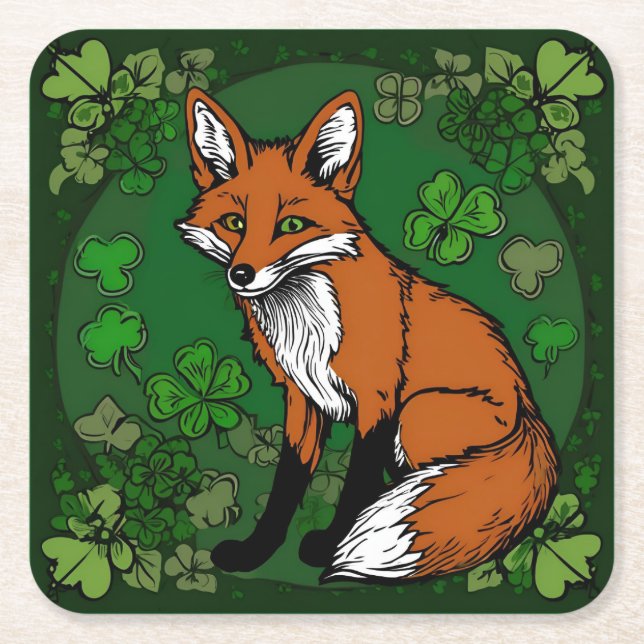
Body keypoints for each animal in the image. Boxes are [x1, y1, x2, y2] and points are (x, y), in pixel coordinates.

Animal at [176, 87, 559, 583]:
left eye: (291, 226)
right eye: (234, 223)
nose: (242, 274)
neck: (307, 321)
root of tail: (531, 410)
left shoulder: (379, 401)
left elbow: (357, 481)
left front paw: (329, 547)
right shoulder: (302, 401)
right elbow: (286, 485)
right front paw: (256, 552)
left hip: (417, 416)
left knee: (427, 478)